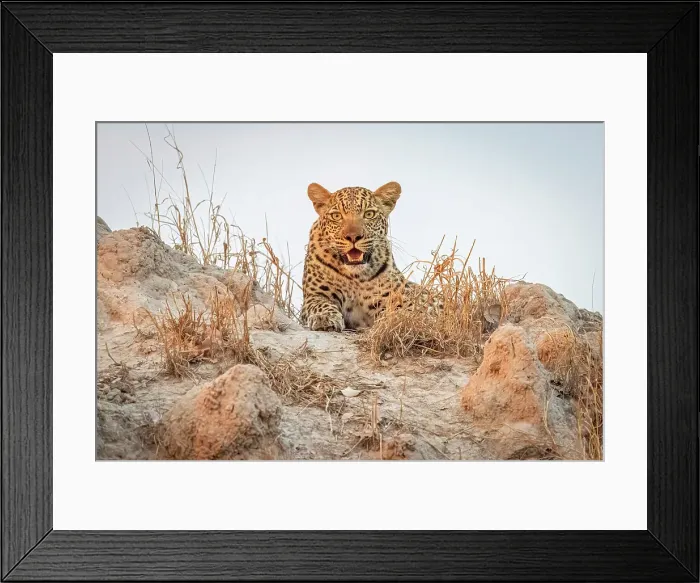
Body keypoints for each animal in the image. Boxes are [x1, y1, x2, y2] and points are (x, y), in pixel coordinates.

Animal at [300, 181, 418, 332]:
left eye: (369, 214)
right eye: (336, 216)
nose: (353, 237)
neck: (355, 278)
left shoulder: (398, 297)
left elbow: (408, 310)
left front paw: (401, 322)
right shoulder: (314, 295)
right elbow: (320, 304)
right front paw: (324, 318)